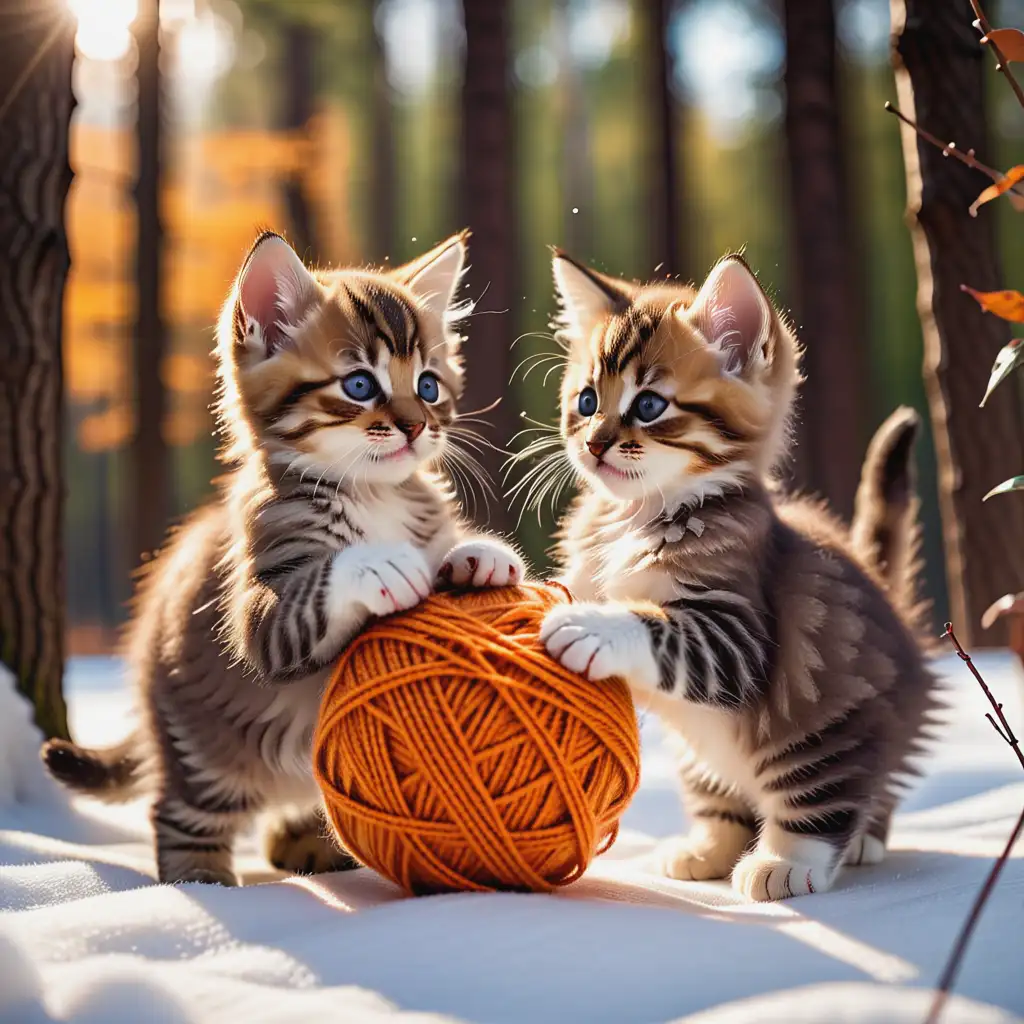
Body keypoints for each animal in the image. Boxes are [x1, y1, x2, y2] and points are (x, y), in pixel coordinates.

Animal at [40, 232, 524, 888]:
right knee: (179, 815)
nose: (416, 426)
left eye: (428, 386)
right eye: (360, 386)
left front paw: (480, 553)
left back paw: (312, 846)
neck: (374, 495)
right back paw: (204, 880)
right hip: (199, 752)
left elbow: (448, 543)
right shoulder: (261, 613)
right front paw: (382, 564)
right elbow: (313, 592)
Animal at [536, 251, 937, 901]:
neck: (637, 518)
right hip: (699, 758)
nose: (593, 444)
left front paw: (591, 626)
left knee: (829, 789)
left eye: (649, 406)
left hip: (824, 723)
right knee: (720, 794)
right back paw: (709, 849)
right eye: (588, 401)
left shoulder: (738, 634)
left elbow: (653, 622)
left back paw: (796, 857)